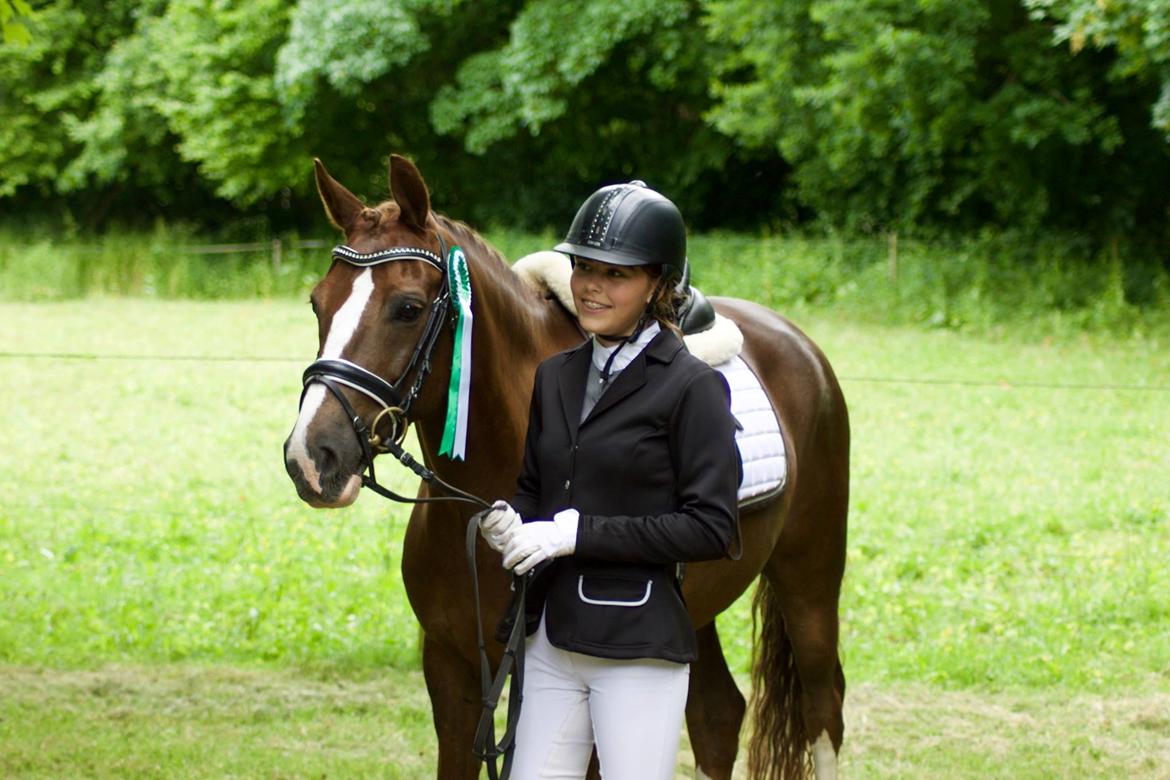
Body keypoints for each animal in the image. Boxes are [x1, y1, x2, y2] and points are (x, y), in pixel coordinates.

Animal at [283, 154, 851, 780]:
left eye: (407, 309)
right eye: (317, 302)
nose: (311, 458)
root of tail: (798, 344)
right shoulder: (451, 674)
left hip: (810, 579)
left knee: (823, 709)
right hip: (691, 618)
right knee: (719, 716)